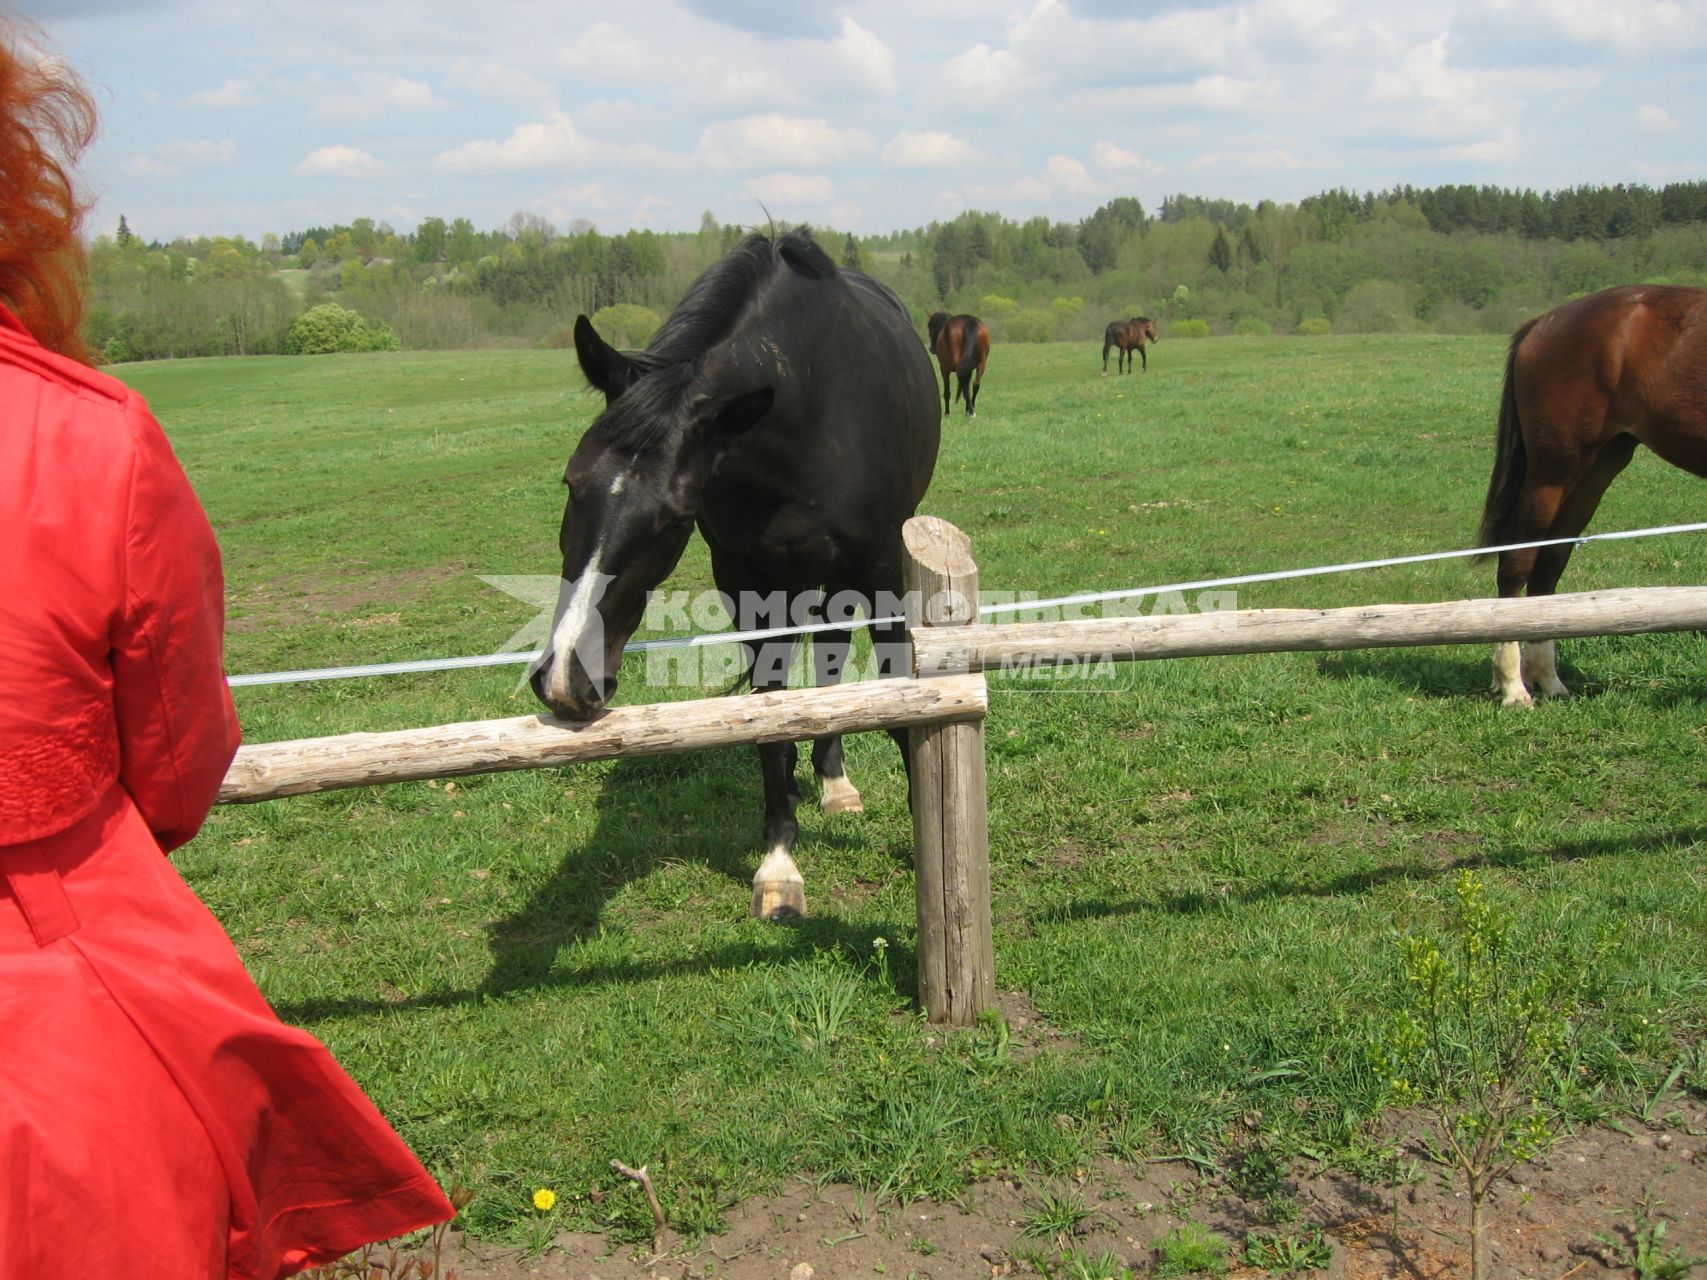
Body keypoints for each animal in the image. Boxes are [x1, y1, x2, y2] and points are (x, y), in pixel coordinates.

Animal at [525, 230, 942, 921]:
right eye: (570, 483)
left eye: (673, 518)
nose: (565, 680)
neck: (811, 410)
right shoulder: (747, 582)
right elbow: (770, 716)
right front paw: (779, 864)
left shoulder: (884, 570)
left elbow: (901, 702)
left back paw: (835, 782)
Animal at [1481, 285, 1707, 706]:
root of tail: (1545, 322)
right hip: (1553, 472)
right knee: (1517, 562)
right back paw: (1514, 686)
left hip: (1597, 470)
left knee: (1549, 563)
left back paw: (1549, 680)